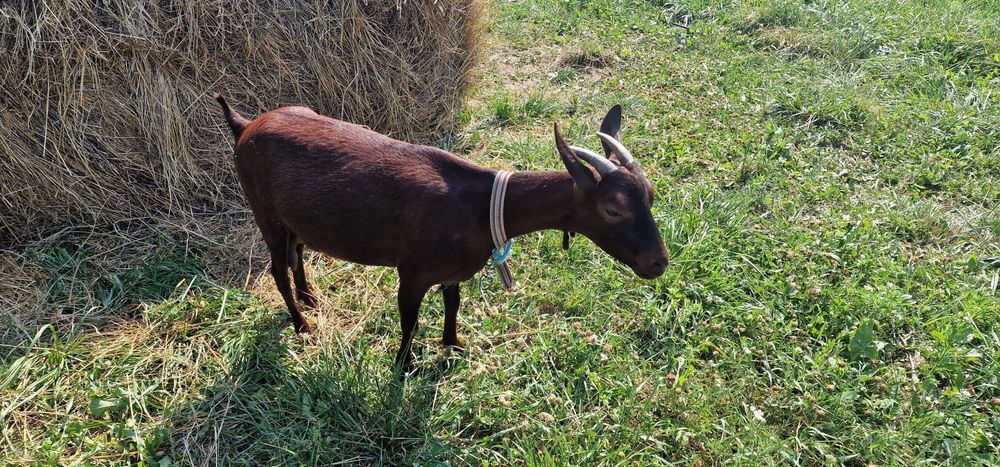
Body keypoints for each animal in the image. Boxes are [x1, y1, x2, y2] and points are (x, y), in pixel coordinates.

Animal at [214, 93, 668, 373]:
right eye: (613, 209)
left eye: (651, 195)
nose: (658, 263)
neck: (483, 206)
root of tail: (244, 125)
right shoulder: (412, 272)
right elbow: (410, 321)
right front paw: (404, 366)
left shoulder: (452, 271)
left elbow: (453, 304)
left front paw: (453, 343)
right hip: (265, 213)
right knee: (278, 268)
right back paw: (303, 324)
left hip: (294, 217)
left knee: (298, 253)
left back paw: (310, 296)